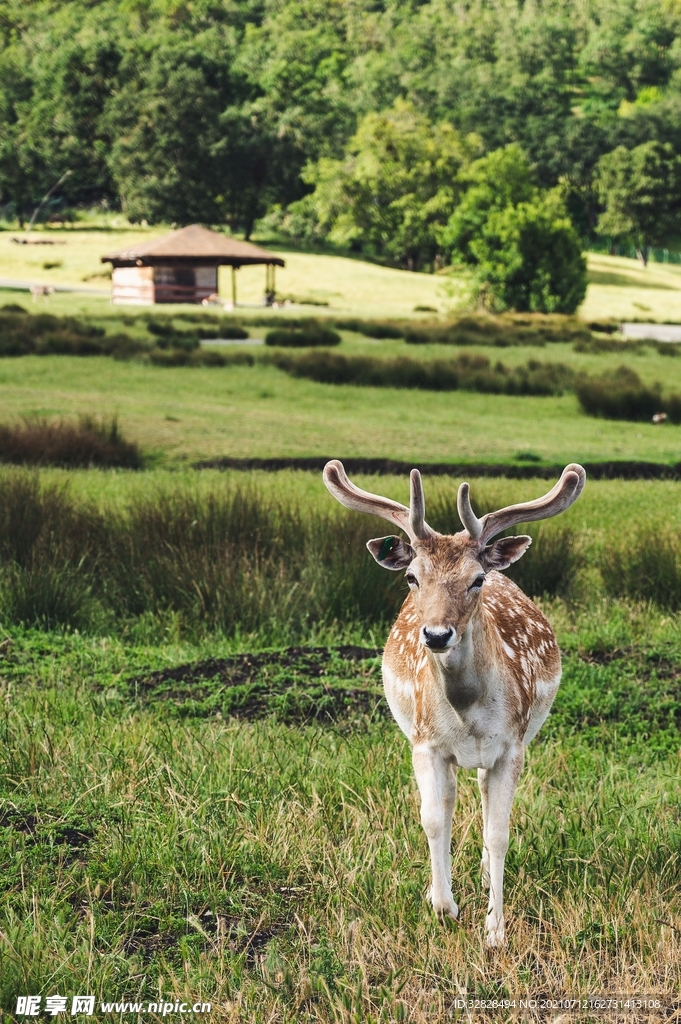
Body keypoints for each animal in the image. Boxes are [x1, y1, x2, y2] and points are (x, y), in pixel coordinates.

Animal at [323, 460, 585, 946]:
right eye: (412, 577)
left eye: (475, 580)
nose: (436, 634)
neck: (467, 711)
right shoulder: (425, 742)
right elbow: (433, 818)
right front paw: (443, 906)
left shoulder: (512, 745)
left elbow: (500, 833)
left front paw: (495, 930)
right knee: (447, 803)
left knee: (480, 792)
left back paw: (482, 876)